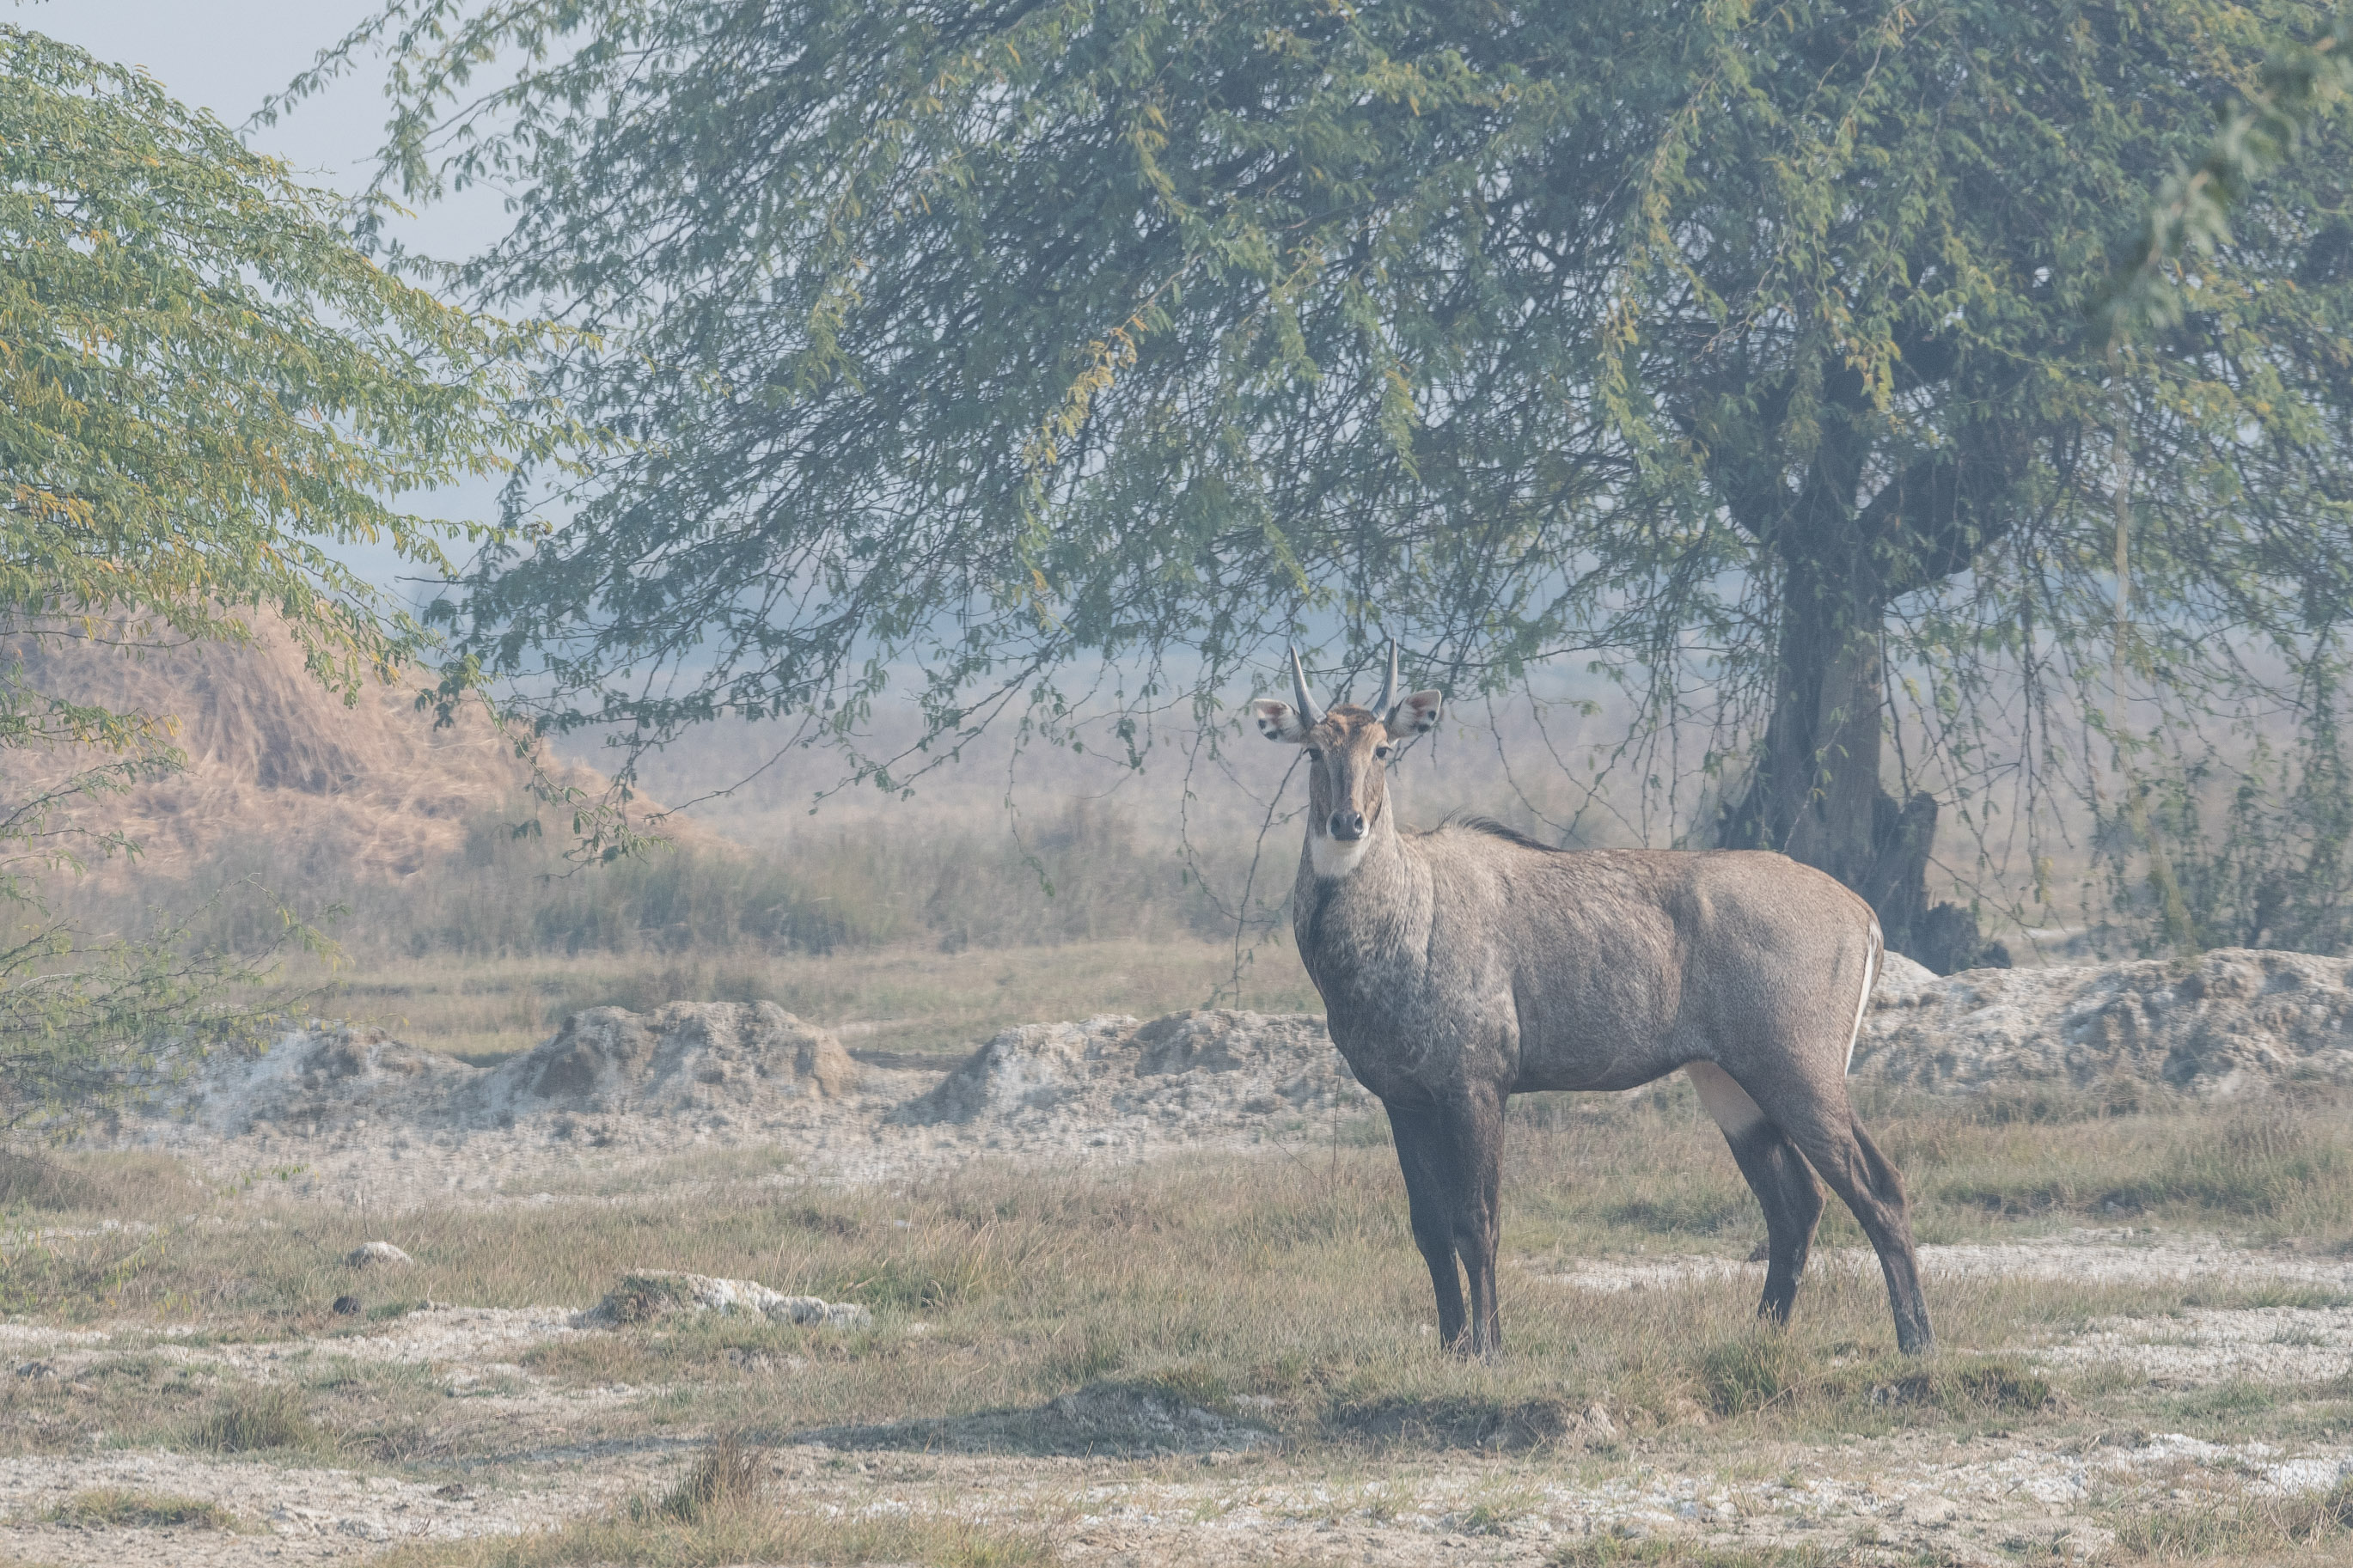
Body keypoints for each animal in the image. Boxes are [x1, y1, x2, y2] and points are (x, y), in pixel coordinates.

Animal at [1253, 644, 1931, 1357]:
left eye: (1382, 747)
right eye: (1312, 750)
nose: (1347, 821)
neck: (1408, 904)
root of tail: (1863, 914)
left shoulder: (1476, 1085)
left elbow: (1478, 1221)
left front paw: (1489, 1349)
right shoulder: (1403, 1098)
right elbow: (1429, 1227)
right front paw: (1450, 1346)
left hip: (1800, 1073)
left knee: (1879, 1187)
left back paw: (1917, 1341)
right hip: (1730, 1083)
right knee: (1796, 1203)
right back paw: (1760, 1338)